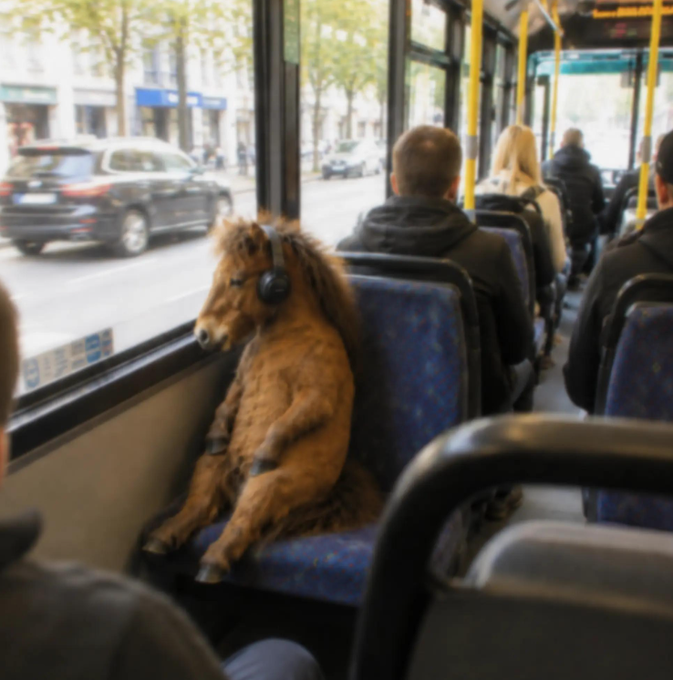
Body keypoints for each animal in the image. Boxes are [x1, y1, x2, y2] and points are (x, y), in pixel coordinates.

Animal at [144, 216, 383, 582]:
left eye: (237, 279)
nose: (202, 334)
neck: (285, 334)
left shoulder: (318, 390)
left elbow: (295, 416)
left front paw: (265, 452)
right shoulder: (241, 379)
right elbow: (228, 402)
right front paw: (216, 433)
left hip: (272, 483)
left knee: (243, 518)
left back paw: (213, 561)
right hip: (211, 465)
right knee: (201, 503)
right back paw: (164, 535)